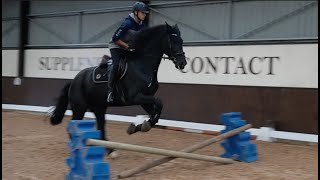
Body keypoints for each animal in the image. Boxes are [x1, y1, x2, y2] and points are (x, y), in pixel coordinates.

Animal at [48, 22, 186, 143]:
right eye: (173, 41)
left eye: (181, 41)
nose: (183, 63)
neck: (142, 67)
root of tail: (74, 81)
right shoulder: (135, 97)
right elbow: (159, 103)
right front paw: (141, 126)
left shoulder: (145, 98)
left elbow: (156, 112)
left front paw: (139, 127)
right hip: (79, 108)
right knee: (74, 127)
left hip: (98, 107)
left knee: (101, 127)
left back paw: (109, 150)